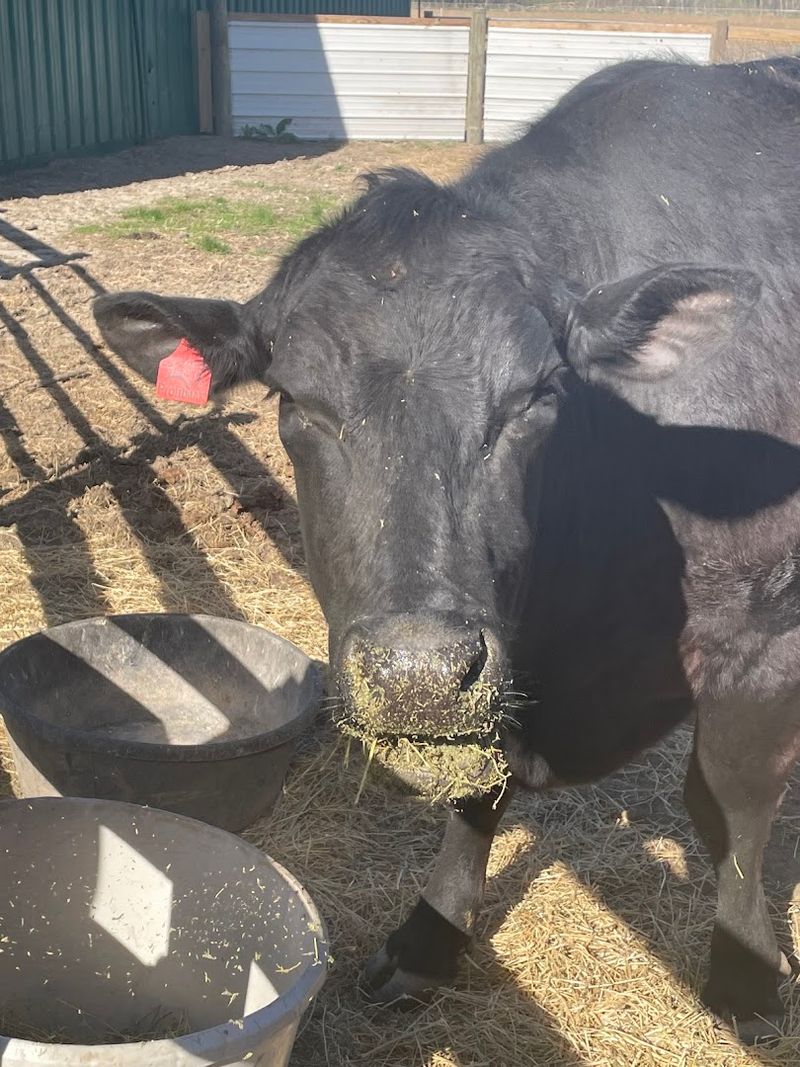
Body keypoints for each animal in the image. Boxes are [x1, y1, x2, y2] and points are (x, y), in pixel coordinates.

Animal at [93, 56, 800, 1041]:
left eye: (538, 395)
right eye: (295, 401)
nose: (417, 670)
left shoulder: (762, 627)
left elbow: (733, 800)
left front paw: (743, 969)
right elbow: (477, 789)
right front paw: (430, 938)